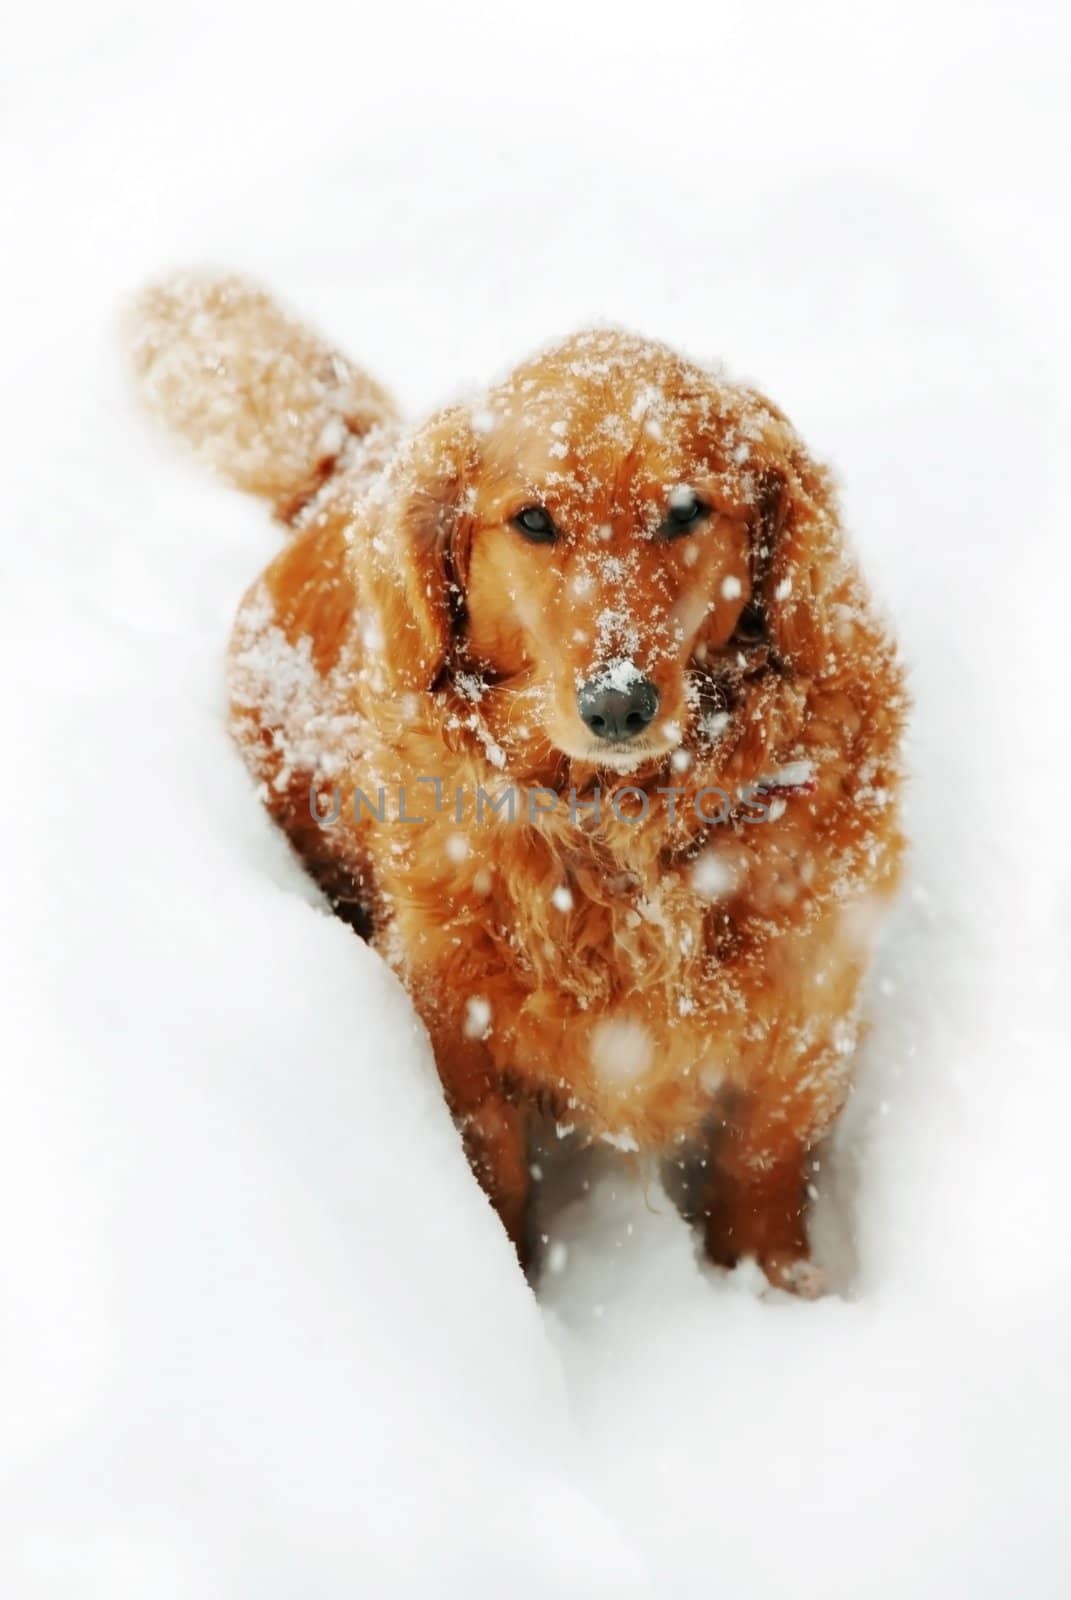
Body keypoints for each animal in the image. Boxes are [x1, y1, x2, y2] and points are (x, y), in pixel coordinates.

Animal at [129, 275, 909, 1292]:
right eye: (534, 520)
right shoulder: (453, 1028)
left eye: (687, 510)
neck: (623, 833)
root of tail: (357, 458)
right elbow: (490, 1175)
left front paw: (775, 1289)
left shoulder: (813, 1001)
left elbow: (764, 1161)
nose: (617, 702)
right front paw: (508, 1294)